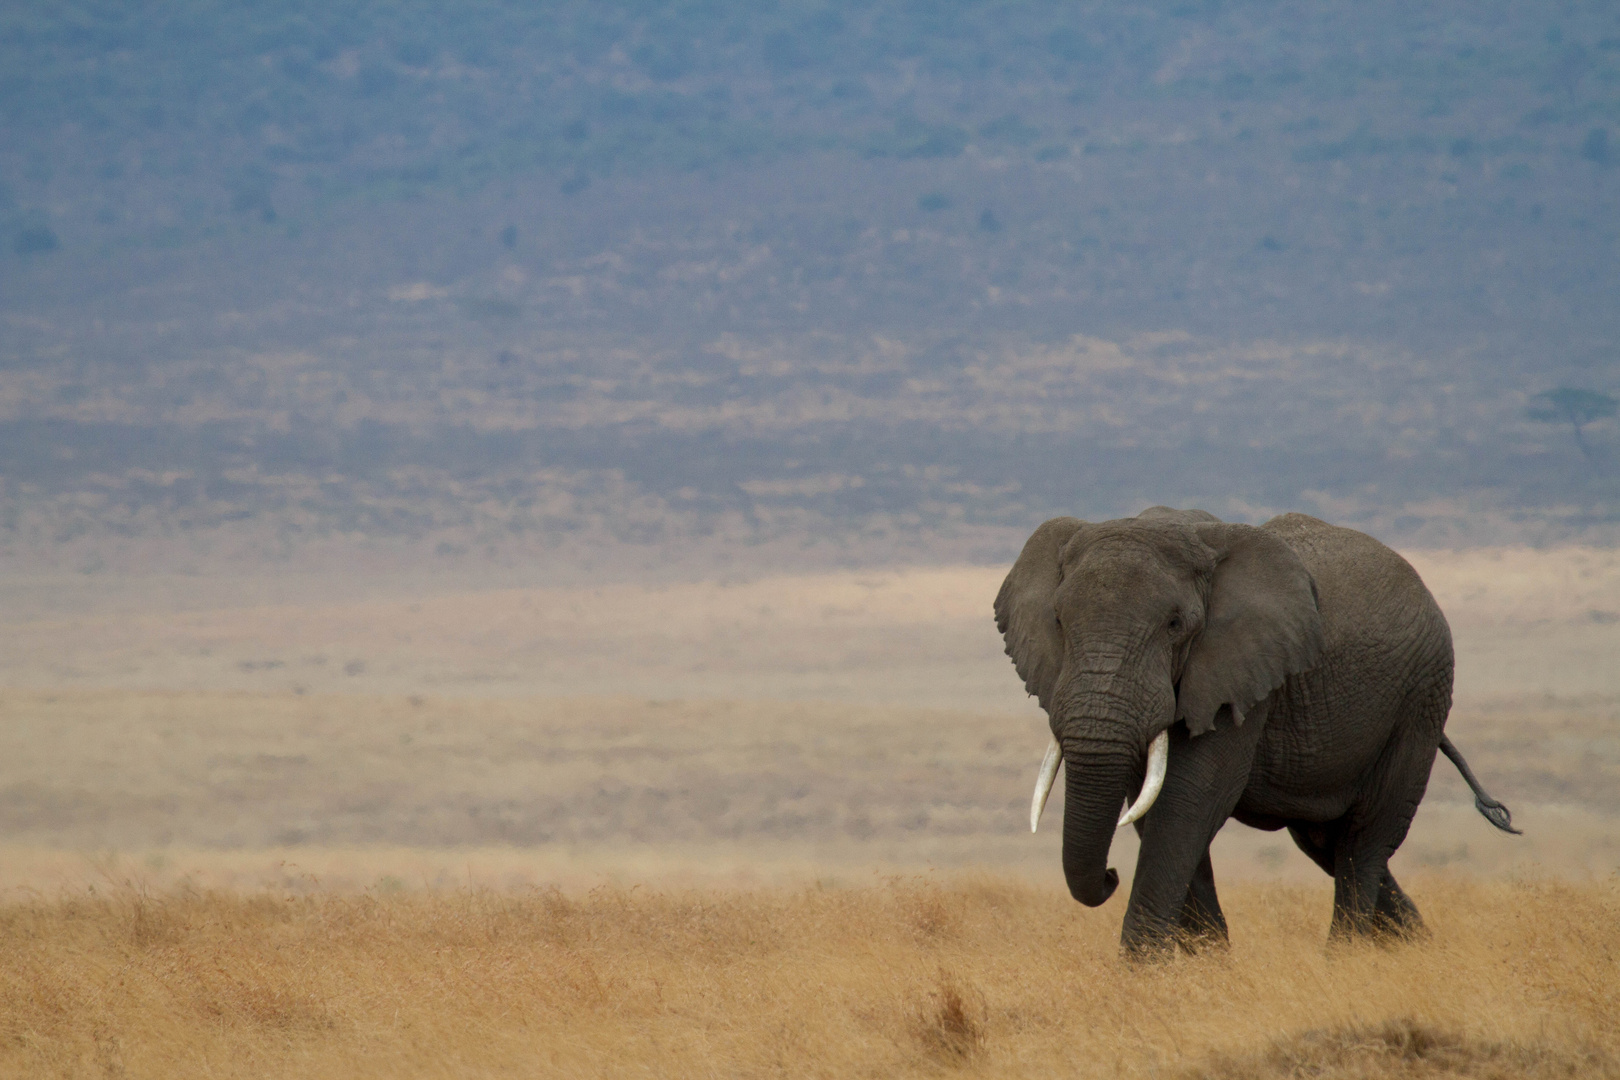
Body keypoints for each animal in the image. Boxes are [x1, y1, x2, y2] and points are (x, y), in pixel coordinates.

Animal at [997, 508, 1516, 952]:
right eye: (1059, 621)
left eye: (1174, 624)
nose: (1110, 875)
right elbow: (1153, 805)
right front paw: (1207, 967)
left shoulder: (1243, 672)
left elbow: (1187, 799)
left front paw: (1144, 976)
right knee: (1329, 843)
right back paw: (1420, 950)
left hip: (1420, 702)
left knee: (1363, 845)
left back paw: (1346, 964)